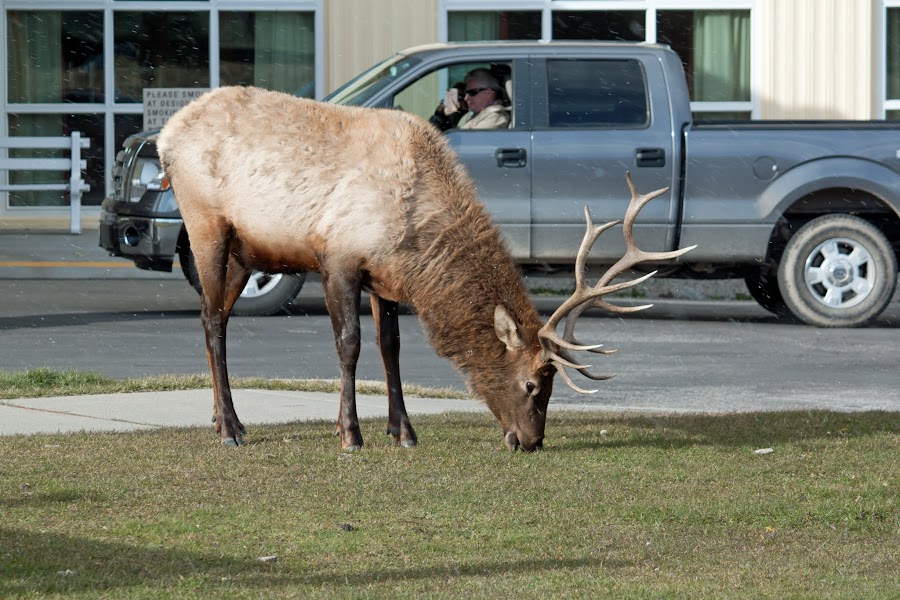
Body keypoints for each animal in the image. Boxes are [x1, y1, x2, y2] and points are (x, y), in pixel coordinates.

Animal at [156, 85, 696, 450]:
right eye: (532, 384)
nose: (530, 441)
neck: (418, 243)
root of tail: (165, 136)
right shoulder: (339, 258)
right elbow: (350, 345)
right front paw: (350, 434)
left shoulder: (384, 277)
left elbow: (390, 347)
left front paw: (404, 431)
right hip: (205, 224)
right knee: (210, 318)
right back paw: (229, 428)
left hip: (245, 254)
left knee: (217, 317)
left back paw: (222, 418)